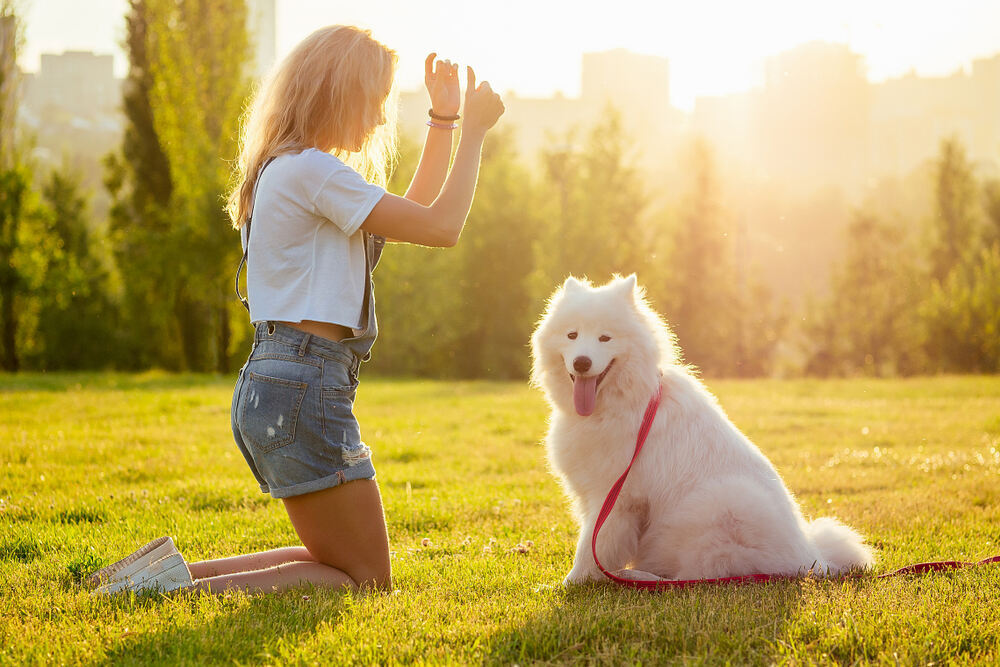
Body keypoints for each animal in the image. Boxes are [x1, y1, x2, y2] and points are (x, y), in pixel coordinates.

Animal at [532, 276, 876, 584]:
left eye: (605, 338)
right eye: (572, 335)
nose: (582, 362)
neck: (622, 404)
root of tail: (812, 560)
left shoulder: (615, 497)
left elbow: (592, 547)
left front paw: (571, 583)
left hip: (718, 504)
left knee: (699, 574)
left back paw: (639, 576)